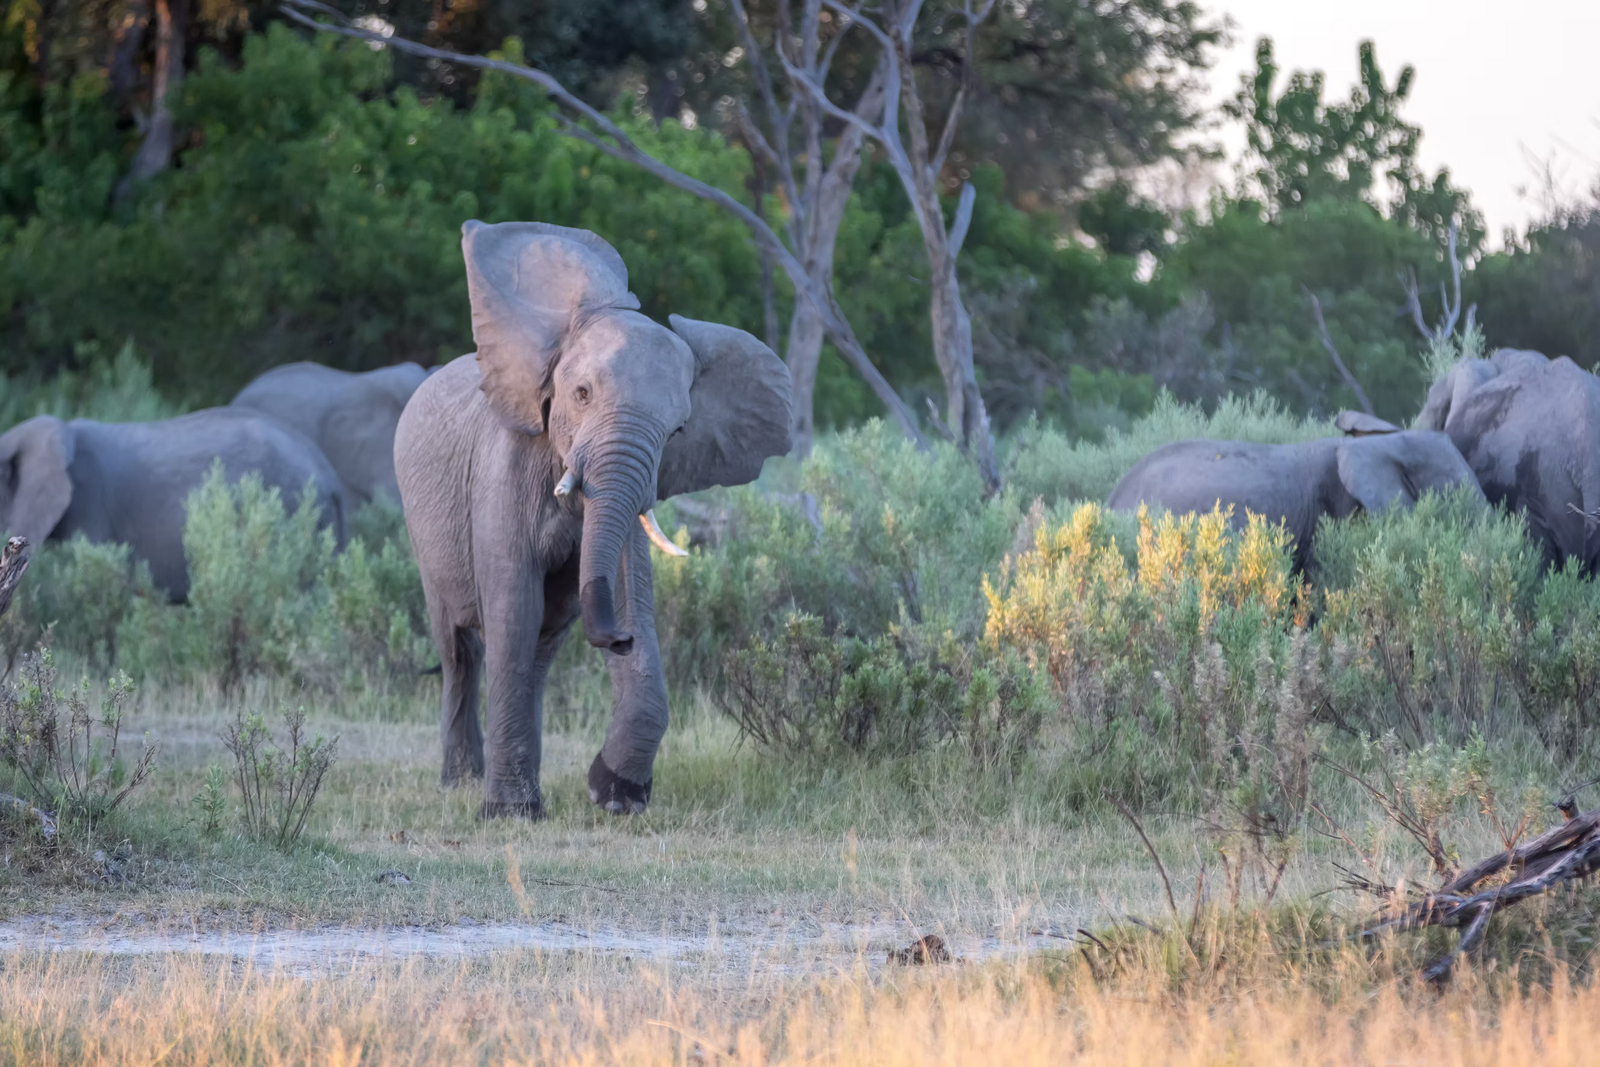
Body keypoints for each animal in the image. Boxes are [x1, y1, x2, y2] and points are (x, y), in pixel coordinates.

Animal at [395, 220, 792, 818]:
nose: (618, 640)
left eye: (678, 431)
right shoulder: (502, 468)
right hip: (422, 529)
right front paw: (509, 815)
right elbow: (513, 607)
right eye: (581, 395)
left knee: (540, 647)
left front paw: (614, 794)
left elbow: (628, 598)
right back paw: (462, 784)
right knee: (460, 649)